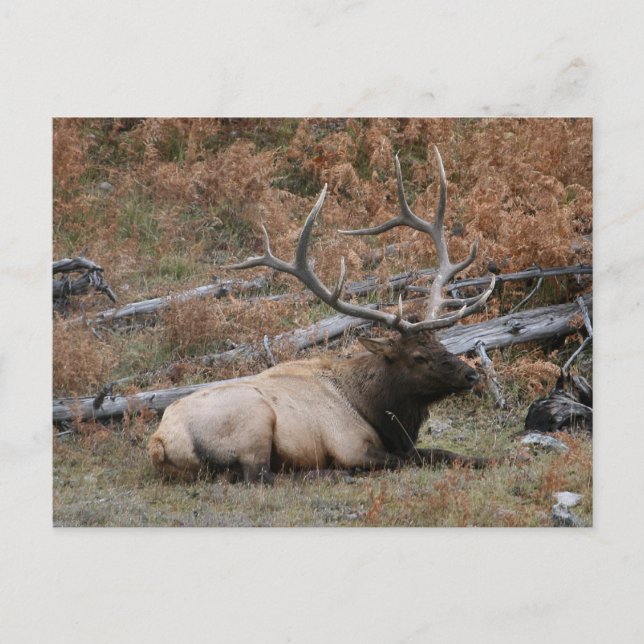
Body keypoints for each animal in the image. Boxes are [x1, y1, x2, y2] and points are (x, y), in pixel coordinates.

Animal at [148, 147, 495, 483]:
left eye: (441, 344)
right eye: (417, 357)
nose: (471, 375)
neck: (373, 408)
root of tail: (159, 442)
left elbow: (444, 453)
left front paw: (493, 458)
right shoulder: (350, 445)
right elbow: (403, 460)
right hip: (254, 421)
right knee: (260, 477)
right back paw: (332, 475)